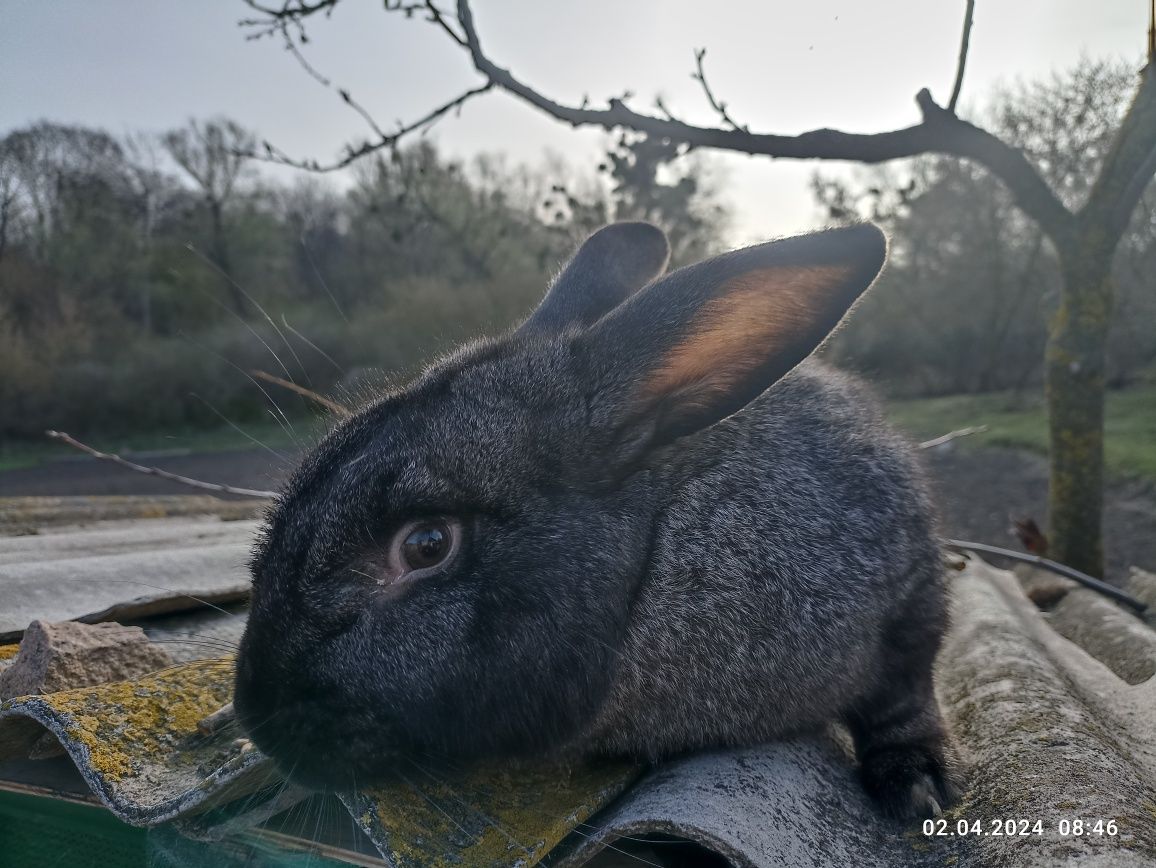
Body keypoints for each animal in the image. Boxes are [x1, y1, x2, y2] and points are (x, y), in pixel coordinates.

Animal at [234, 221, 957, 822]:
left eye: (427, 544)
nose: (255, 716)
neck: (654, 557)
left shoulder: (906, 603)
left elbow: (904, 699)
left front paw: (916, 788)